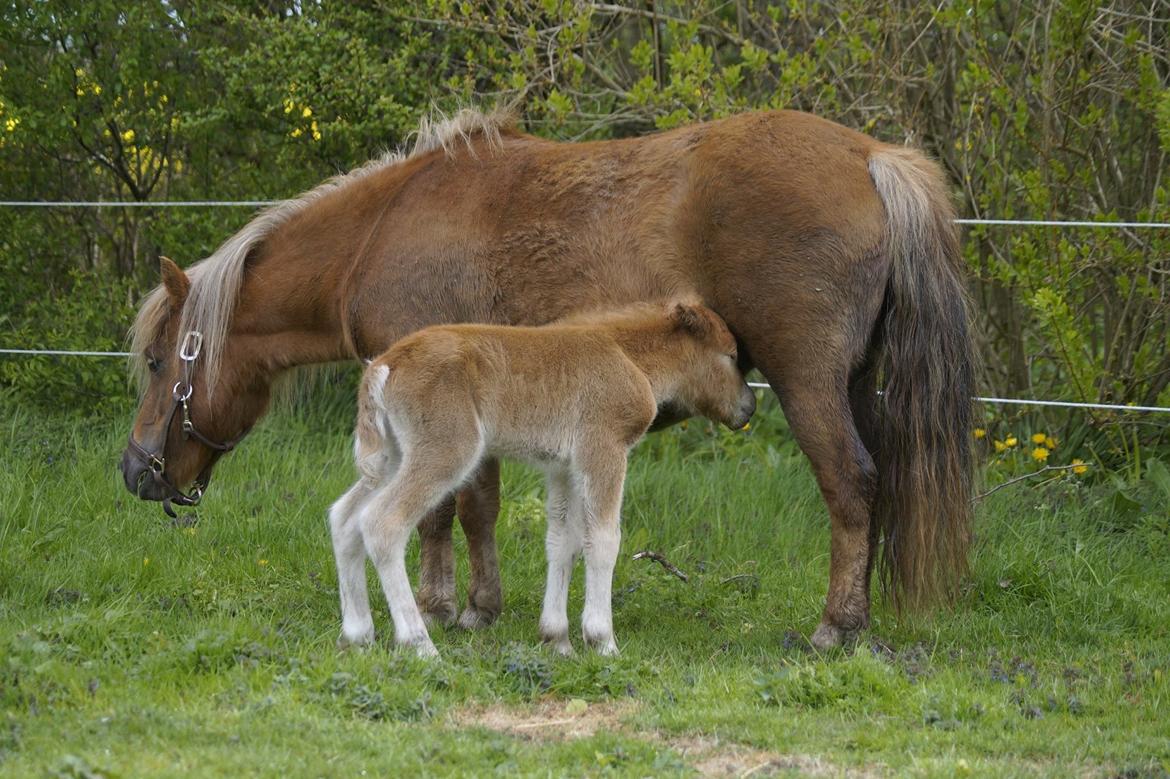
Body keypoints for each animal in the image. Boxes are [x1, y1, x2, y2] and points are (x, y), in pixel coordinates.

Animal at [327, 299, 758, 650]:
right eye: (731, 354)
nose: (749, 407)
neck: (629, 356)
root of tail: (385, 364)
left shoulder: (563, 467)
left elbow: (562, 541)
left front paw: (556, 639)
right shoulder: (603, 449)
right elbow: (603, 539)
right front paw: (602, 640)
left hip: (393, 457)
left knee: (345, 517)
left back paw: (357, 635)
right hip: (445, 450)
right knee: (383, 522)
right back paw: (419, 645)